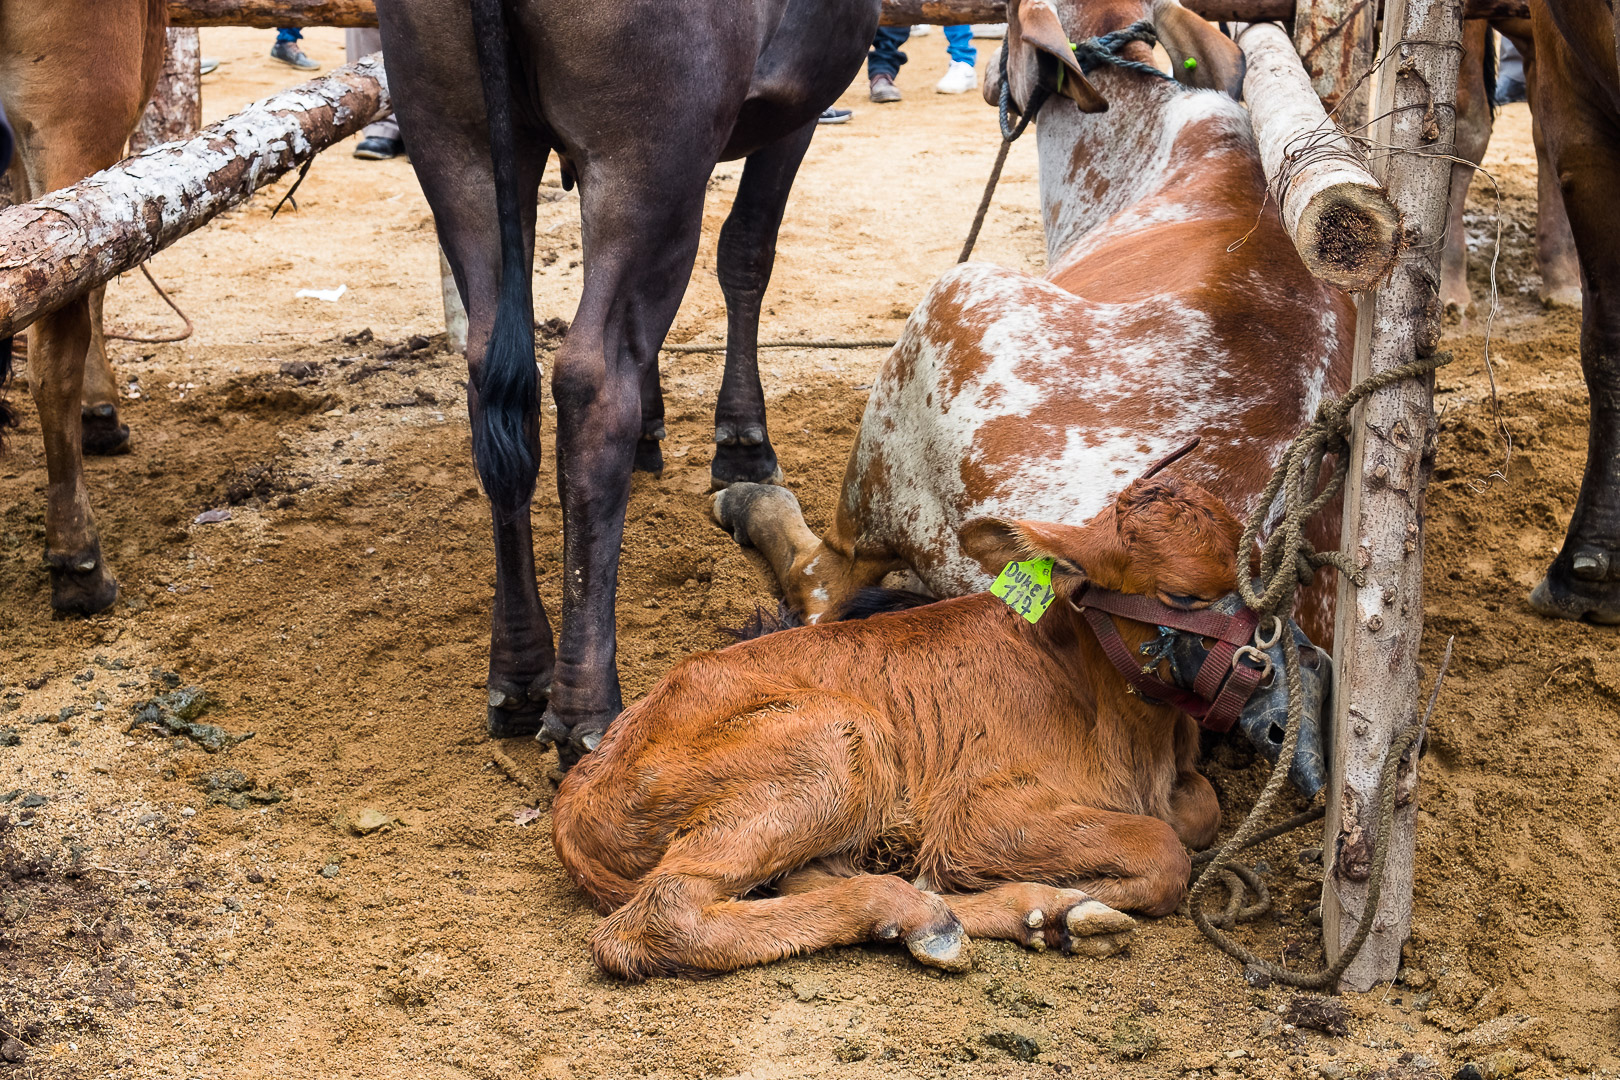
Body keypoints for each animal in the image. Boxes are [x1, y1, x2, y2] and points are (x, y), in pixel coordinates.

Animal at [373, 0, 883, 764]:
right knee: (592, 381)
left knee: (495, 383)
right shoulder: (793, 109)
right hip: (647, 156)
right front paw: (741, 444)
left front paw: (655, 428)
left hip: (454, 142)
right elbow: (746, 250)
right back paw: (584, 709)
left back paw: (519, 677)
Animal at [552, 468, 1332, 978]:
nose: (1287, 668)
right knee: (662, 914)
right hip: (836, 746)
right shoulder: (979, 811)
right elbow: (1165, 851)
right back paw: (937, 909)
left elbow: (1197, 812)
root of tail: (578, 788)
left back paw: (1027, 911)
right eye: (1182, 596)